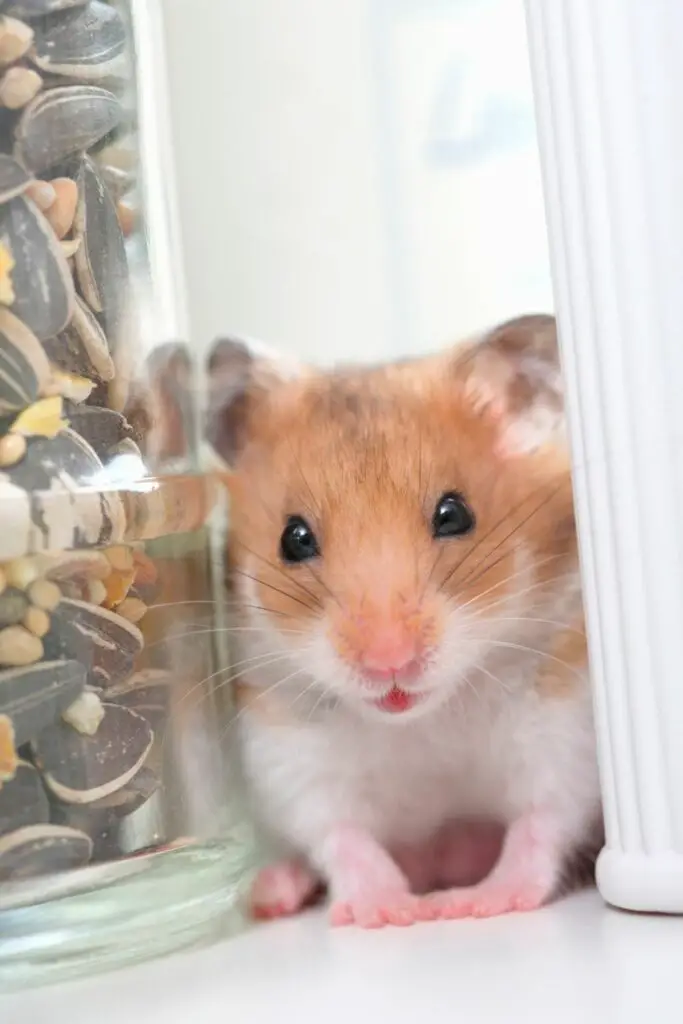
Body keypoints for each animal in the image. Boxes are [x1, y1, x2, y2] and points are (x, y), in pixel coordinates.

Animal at [206, 315, 601, 928]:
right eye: (293, 539)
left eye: (454, 514)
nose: (389, 663)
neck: (424, 720)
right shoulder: (286, 746)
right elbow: (340, 833)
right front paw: (388, 913)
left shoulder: (563, 716)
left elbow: (541, 820)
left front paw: (474, 905)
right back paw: (275, 891)